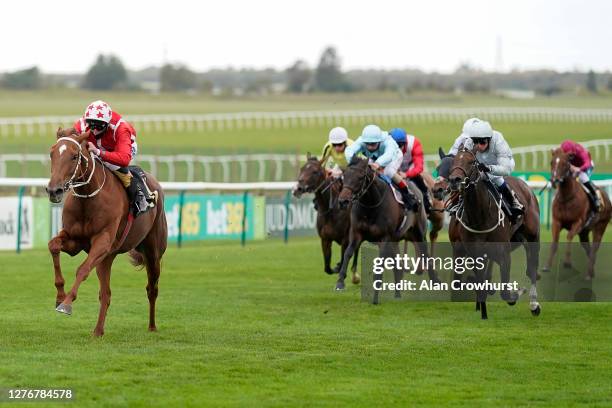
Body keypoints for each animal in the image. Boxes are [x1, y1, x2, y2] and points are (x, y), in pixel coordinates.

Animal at [46, 129, 167, 336]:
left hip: (153, 252)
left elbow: (82, 269)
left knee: (152, 288)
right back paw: (98, 330)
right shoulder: (74, 241)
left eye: (74, 156)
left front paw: (67, 304)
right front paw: (60, 296)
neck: (88, 197)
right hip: (107, 258)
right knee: (106, 294)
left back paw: (152, 326)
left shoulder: (103, 241)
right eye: (52, 153)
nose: (54, 190)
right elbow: (53, 246)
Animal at [292, 156, 358, 284]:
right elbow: (327, 268)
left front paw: (340, 269)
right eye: (302, 168)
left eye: (315, 171)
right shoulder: (325, 239)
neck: (331, 210)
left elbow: (344, 259)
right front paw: (336, 267)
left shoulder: (346, 239)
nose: (299, 188)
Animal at [448, 147, 544, 318]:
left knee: (532, 267)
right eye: (454, 161)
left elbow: (505, 292)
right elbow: (474, 282)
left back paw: (534, 304)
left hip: (533, 236)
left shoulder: (504, 254)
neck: (480, 216)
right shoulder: (473, 253)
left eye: (471, 162)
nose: (454, 180)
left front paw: (517, 292)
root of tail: (525, 186)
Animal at [544, 148, 608, 278]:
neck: (567, 197)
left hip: (600, 227)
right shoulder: (556, 221)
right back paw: (591, 272)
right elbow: (555, 241)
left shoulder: (578, 222)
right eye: (551, 162)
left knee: (594, 249)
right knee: (589, 249)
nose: (554, 180)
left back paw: (588, 274)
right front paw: (547, 266)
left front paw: (567, 262)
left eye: (565, 164)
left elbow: (569, 236)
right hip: (584, 233)